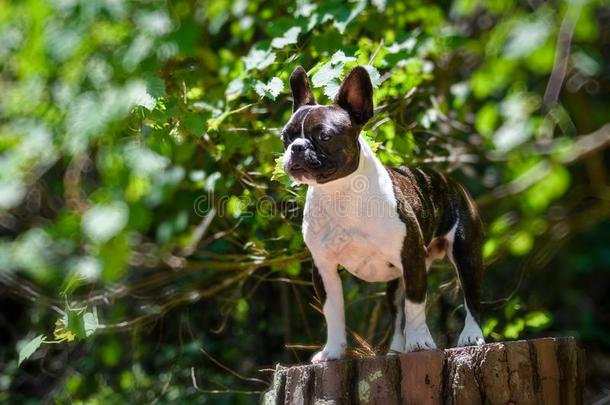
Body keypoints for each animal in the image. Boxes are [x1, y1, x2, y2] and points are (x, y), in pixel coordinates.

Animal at [278, 64, 482, 362]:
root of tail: (449, 181)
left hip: (465, 255)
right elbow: (333, 314)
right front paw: (332, 351)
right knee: (396, 314)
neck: (340, 193)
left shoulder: (411, 259)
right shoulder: (324, 269)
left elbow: (415, 305)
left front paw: (420, 343)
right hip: (396, 282)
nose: (296, 147)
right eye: (285, 137)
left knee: (470, 296)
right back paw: (395, 350)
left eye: (324, 136)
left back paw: (471, 335)